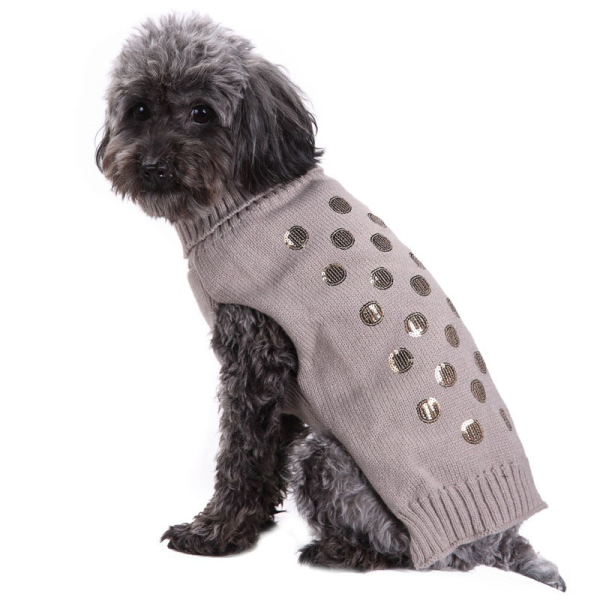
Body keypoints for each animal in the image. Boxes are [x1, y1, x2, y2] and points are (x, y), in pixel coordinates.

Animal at [96, 14, 565, 590]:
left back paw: (338, 550)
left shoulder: (255, 362)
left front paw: (214, 534)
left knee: (407, 557)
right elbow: (265, 460)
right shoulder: (283, 386)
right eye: (139, 109)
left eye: (202, 112)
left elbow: (242, 459)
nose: (154, 165)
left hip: (331, 459)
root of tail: (501, 540)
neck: (243, 196)